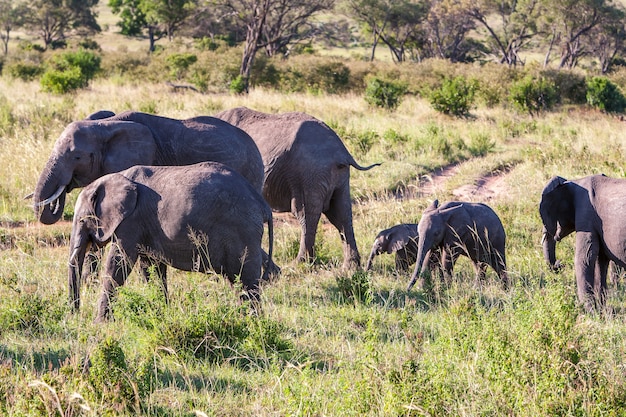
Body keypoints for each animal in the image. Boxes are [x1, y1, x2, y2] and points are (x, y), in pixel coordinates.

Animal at [67, 161, 274, 320]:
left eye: (81, 220)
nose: (74, 315)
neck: (115, 178)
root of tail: (262, 204)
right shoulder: (146, 225)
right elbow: (151, 268)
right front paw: (161, 315)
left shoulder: (131, 220)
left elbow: (119, 263)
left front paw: (100, 323)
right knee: (238, 282)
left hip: (243, 230)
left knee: (247, 281)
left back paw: (254, 323)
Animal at [214, 107, 380, 268]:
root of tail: (342, 153)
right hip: (339, 176)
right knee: (342, 213)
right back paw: (350, 267)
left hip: (310, 172)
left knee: (306, 214)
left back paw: (301, 263)